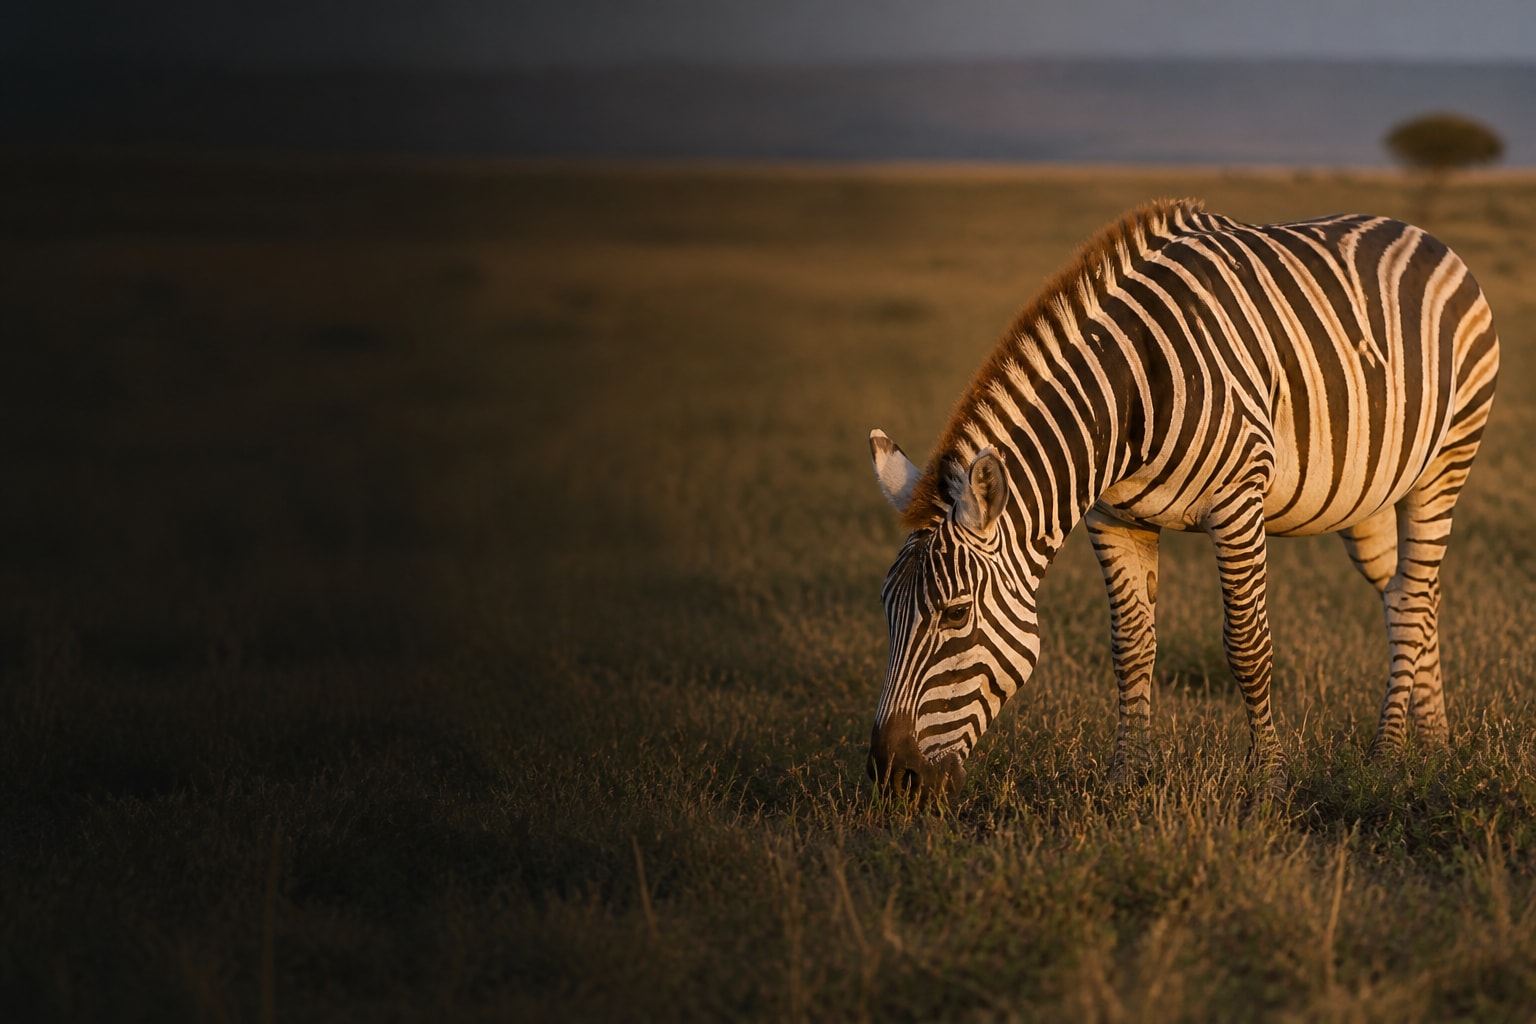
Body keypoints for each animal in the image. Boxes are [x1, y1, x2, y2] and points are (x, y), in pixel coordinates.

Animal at [865, 199, 1499, 802]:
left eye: (955, 614)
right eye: (886, 608)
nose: (891, 777)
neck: (1127, 398)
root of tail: (1416, 230)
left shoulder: (1238, 500)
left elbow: (1248, 646)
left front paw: (1270, 782)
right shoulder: (1113, 518)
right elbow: (1131, 648)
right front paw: (1126, 777)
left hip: (1444, 463)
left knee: (1413, 598)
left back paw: (1388, 755)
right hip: (1367, 496)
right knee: (1411, 593)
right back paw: (1433, 742)